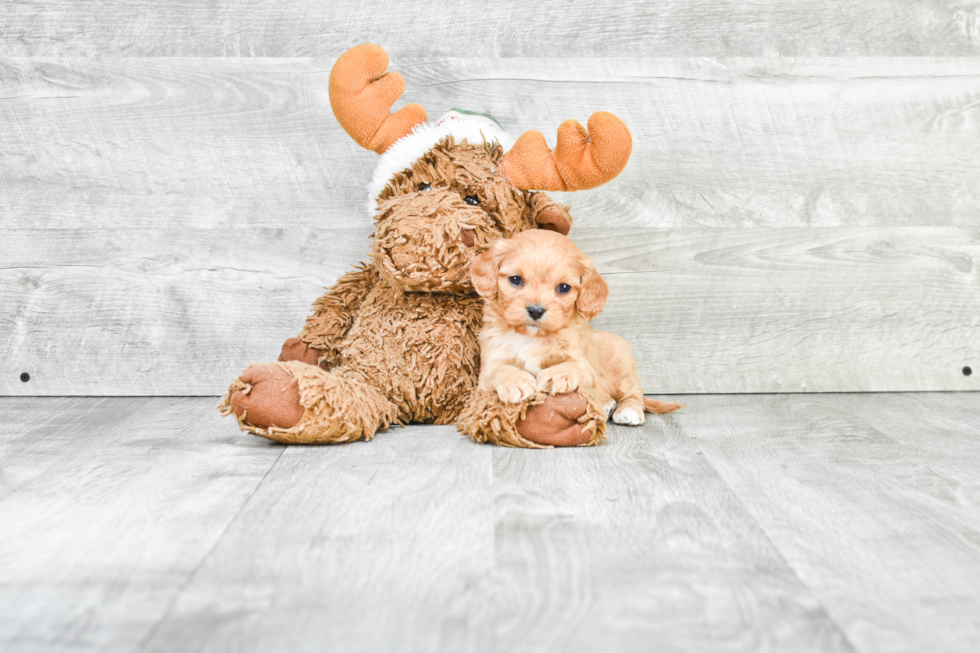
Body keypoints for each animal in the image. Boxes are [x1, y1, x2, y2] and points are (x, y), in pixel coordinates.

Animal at [472, 228, 680, 422]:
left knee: (633, 391)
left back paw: (628, 410)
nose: (536, 310)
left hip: (622, 368)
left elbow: (573, 366)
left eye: (564, 287)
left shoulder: (584, 364)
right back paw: (606, 405)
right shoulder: (487, 368)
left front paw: (555, 376)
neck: (532, 337)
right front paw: (516, 381)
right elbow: (498, 370)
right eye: (515, 279)